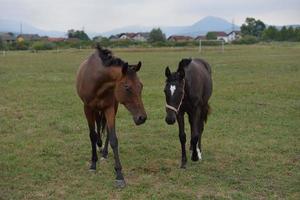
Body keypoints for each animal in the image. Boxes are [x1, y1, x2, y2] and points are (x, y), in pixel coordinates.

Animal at [76, 45, 146, 188]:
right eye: (127, 87)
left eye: (140, 86)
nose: (142, 118)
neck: (97, 80)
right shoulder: (87, 108)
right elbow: (92, 135)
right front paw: (93, 164)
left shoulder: (109, 108)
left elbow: (113, 138)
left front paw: (119, 175)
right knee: (98, 126)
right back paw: (99, 146)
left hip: (113, 107)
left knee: (105, 129)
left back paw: (104, 152)